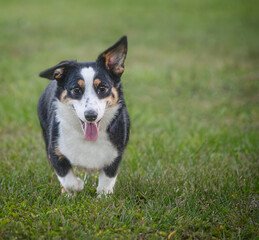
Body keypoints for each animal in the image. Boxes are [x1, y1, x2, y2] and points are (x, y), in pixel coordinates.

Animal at [37, 36, 130, 196]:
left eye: (102, 88)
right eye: (76, 89)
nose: (91, 116)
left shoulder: (115, 154)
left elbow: (107, 180)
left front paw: (103, 196)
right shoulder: (54, 151)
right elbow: (67, 179)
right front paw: (77, 186)